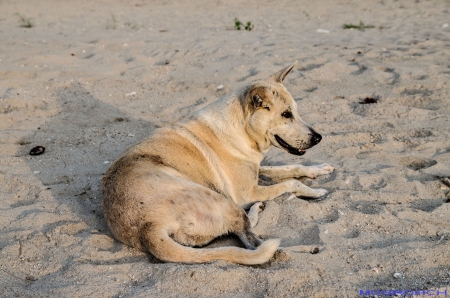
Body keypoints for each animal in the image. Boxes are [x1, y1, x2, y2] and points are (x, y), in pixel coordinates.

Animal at [102, 62, 334, 266]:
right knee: (255, 243)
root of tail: (147, 228)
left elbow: (289, 168)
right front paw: (315, 191)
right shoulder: (246, 193)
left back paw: (259, 209)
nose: (318, 138)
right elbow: (291, 182)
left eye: (296, 111)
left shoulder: (254, 169)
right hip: (224, 202)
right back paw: (303, 248)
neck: (242, 129)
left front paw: (318, 170)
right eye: (286, 114)